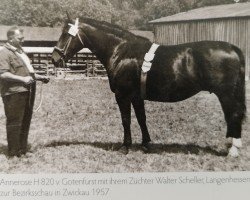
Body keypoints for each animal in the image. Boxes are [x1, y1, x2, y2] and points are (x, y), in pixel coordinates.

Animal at [51, 17, 245, 157]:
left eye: (66, 34)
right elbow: (141, 119)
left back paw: (233, 149)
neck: (122, 51)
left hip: (226, 94)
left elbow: (126, 120)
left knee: (233, 115)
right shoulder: (137, 96)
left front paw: (125, 147)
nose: (54, 58)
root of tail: (232, 48)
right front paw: (146, 144)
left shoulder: (123, 95)